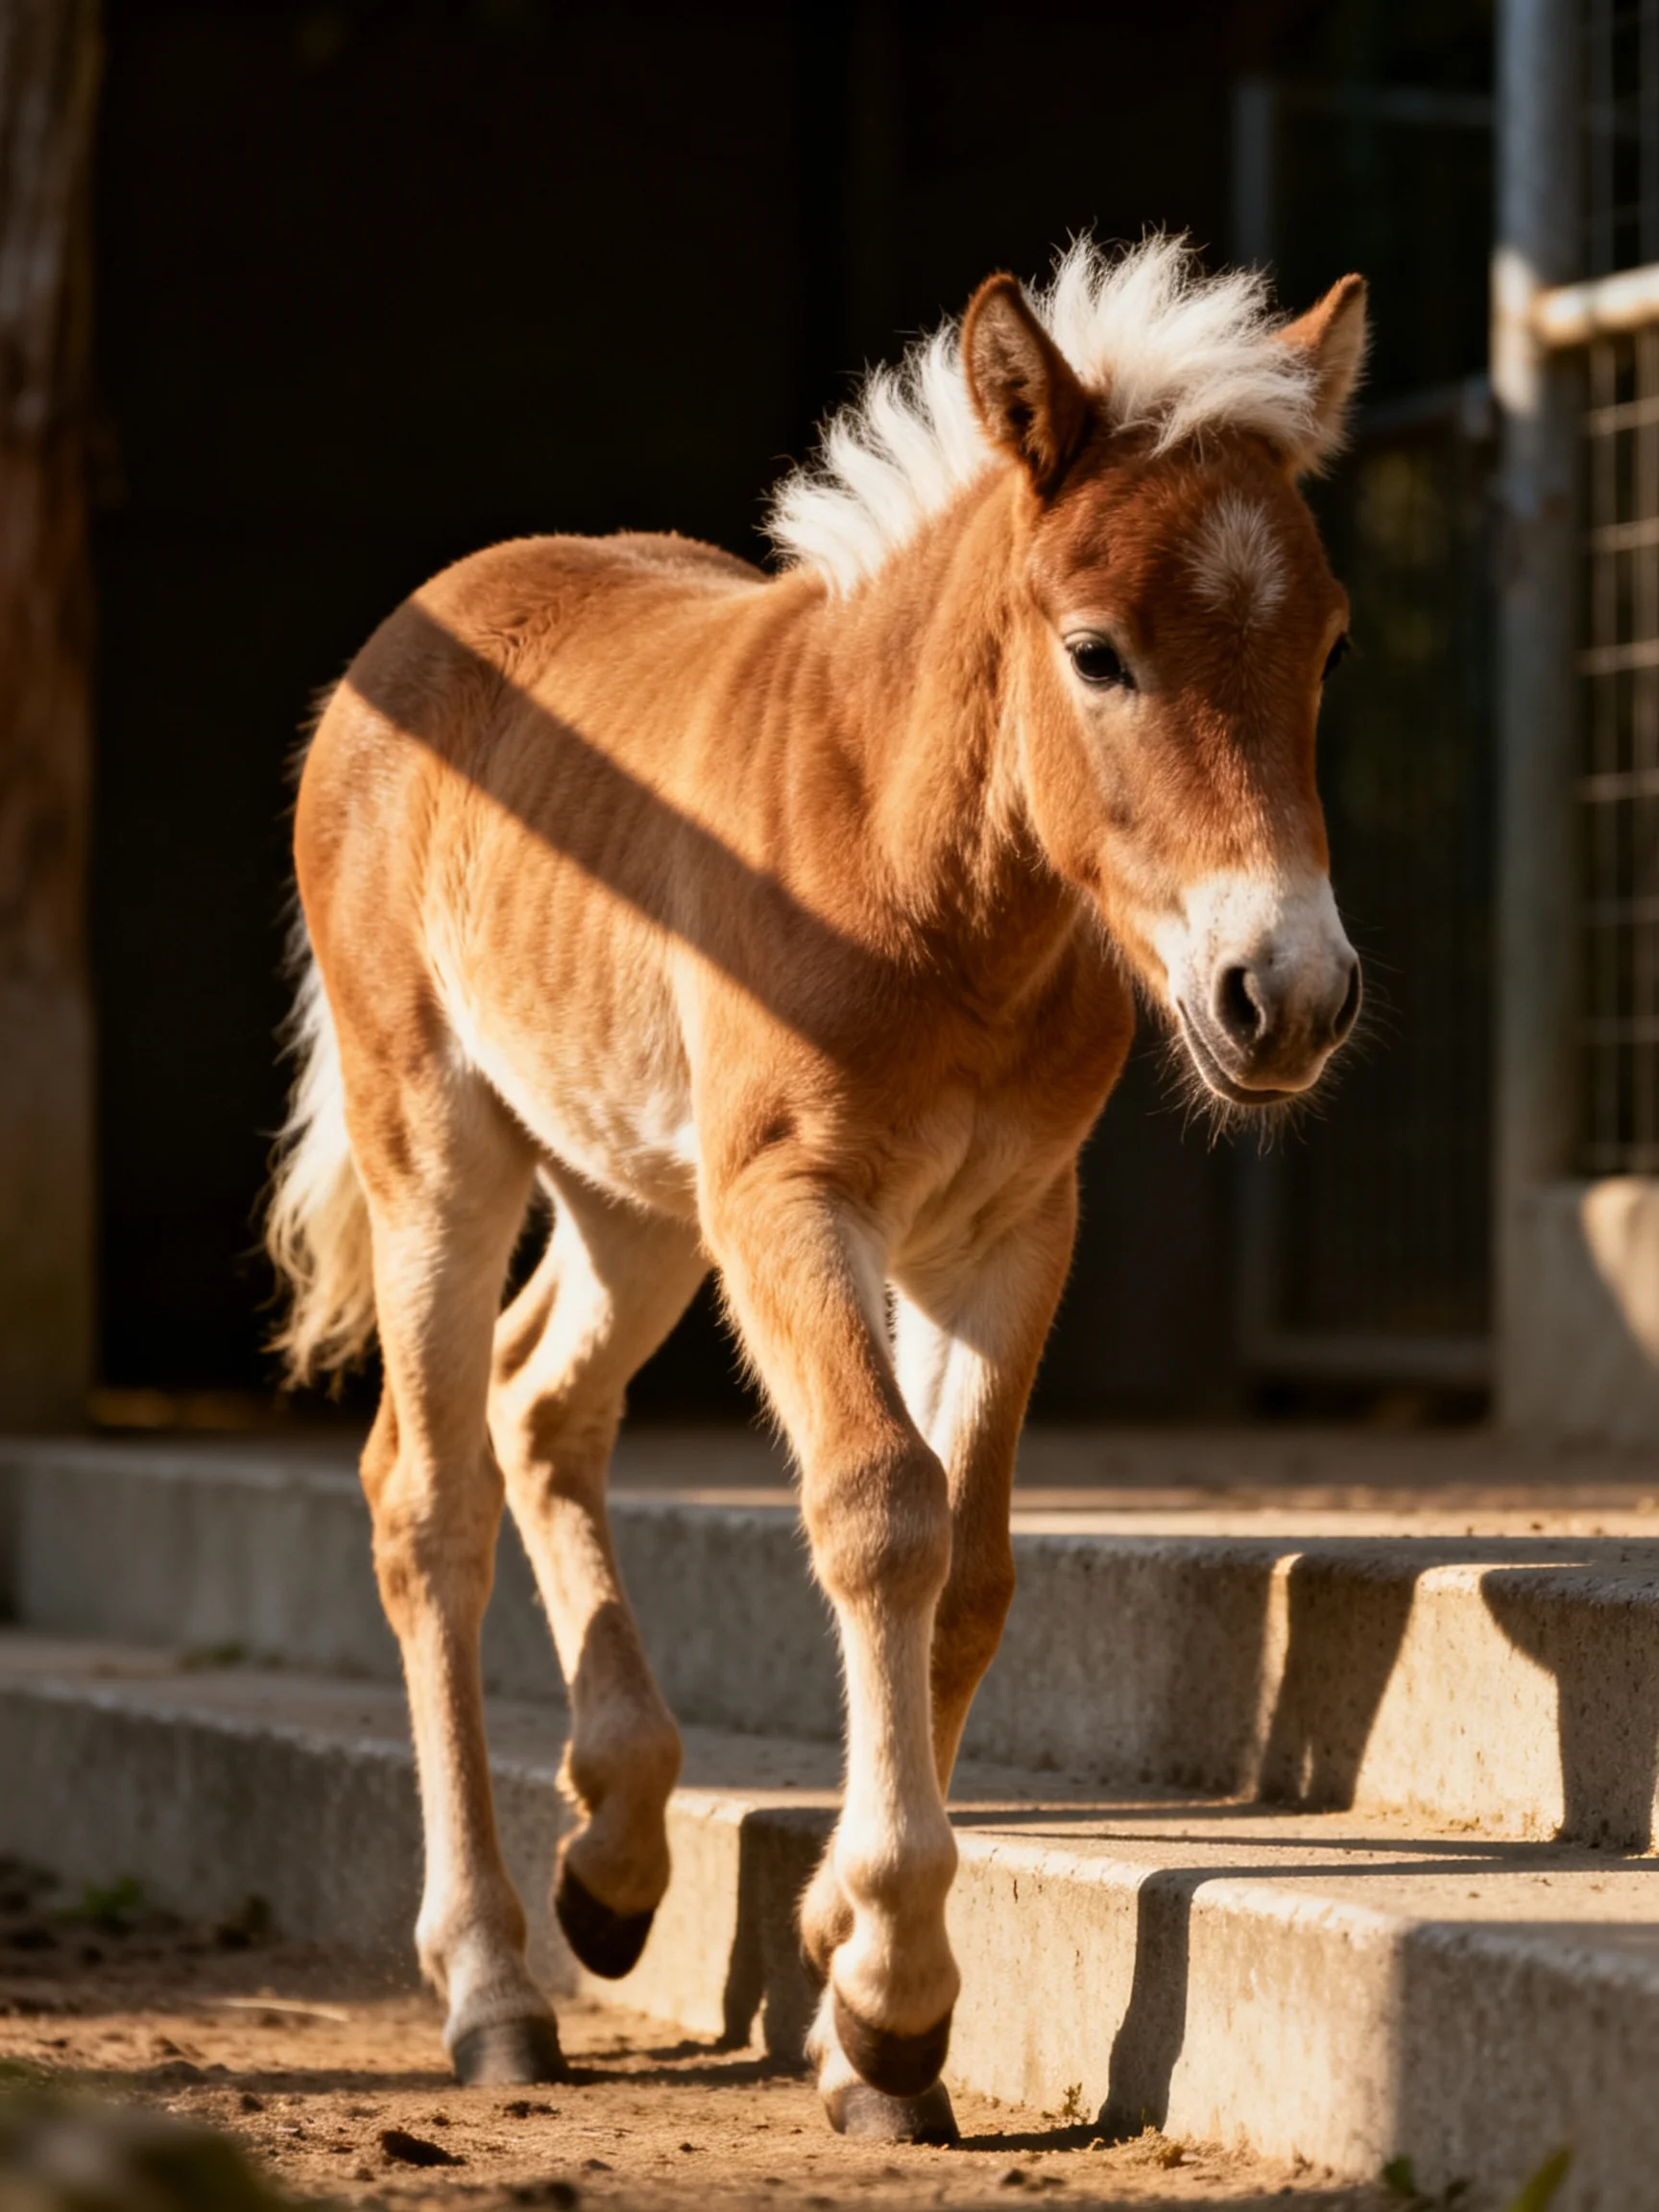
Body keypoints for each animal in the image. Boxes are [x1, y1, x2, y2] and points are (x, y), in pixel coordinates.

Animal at [265, 236, 1366, 2145]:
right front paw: (897, 1994)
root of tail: (413, 631)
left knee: (541, 1402)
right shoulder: (793, 1200)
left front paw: (854, 1993)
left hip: (635, 1190)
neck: (927, 871)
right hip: (445, 1145)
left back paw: (614, 1861)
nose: (1281, 995)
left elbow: (972, 1564)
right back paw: (491, 1983)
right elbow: (878, 1509)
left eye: (1320, 642)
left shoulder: (1006, 1228)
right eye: (1096, 653)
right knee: (428, 1492)